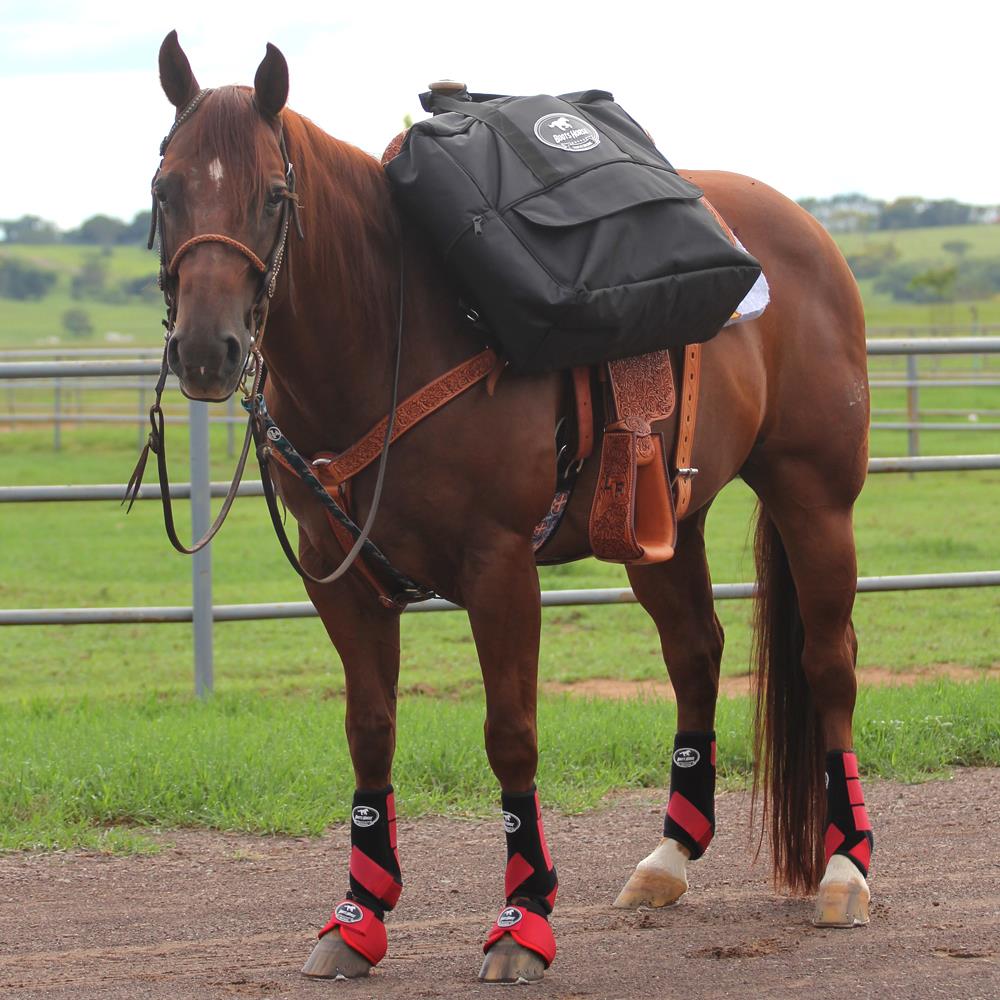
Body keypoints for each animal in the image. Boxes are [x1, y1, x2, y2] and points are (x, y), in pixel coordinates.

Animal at [150, 33, 876, 984]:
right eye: (165, 188)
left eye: (273, 195)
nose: (207, 350)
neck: (392, 329)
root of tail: (802, 232)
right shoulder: (334, 578)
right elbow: (369, 731)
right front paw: (357, 916)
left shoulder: (499, 568)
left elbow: (512, 734)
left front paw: (523, 917)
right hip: (661, 526)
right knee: (696, 653)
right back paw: (670, 855)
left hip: (814, 495)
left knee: (829, 662)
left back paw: (846, 869)